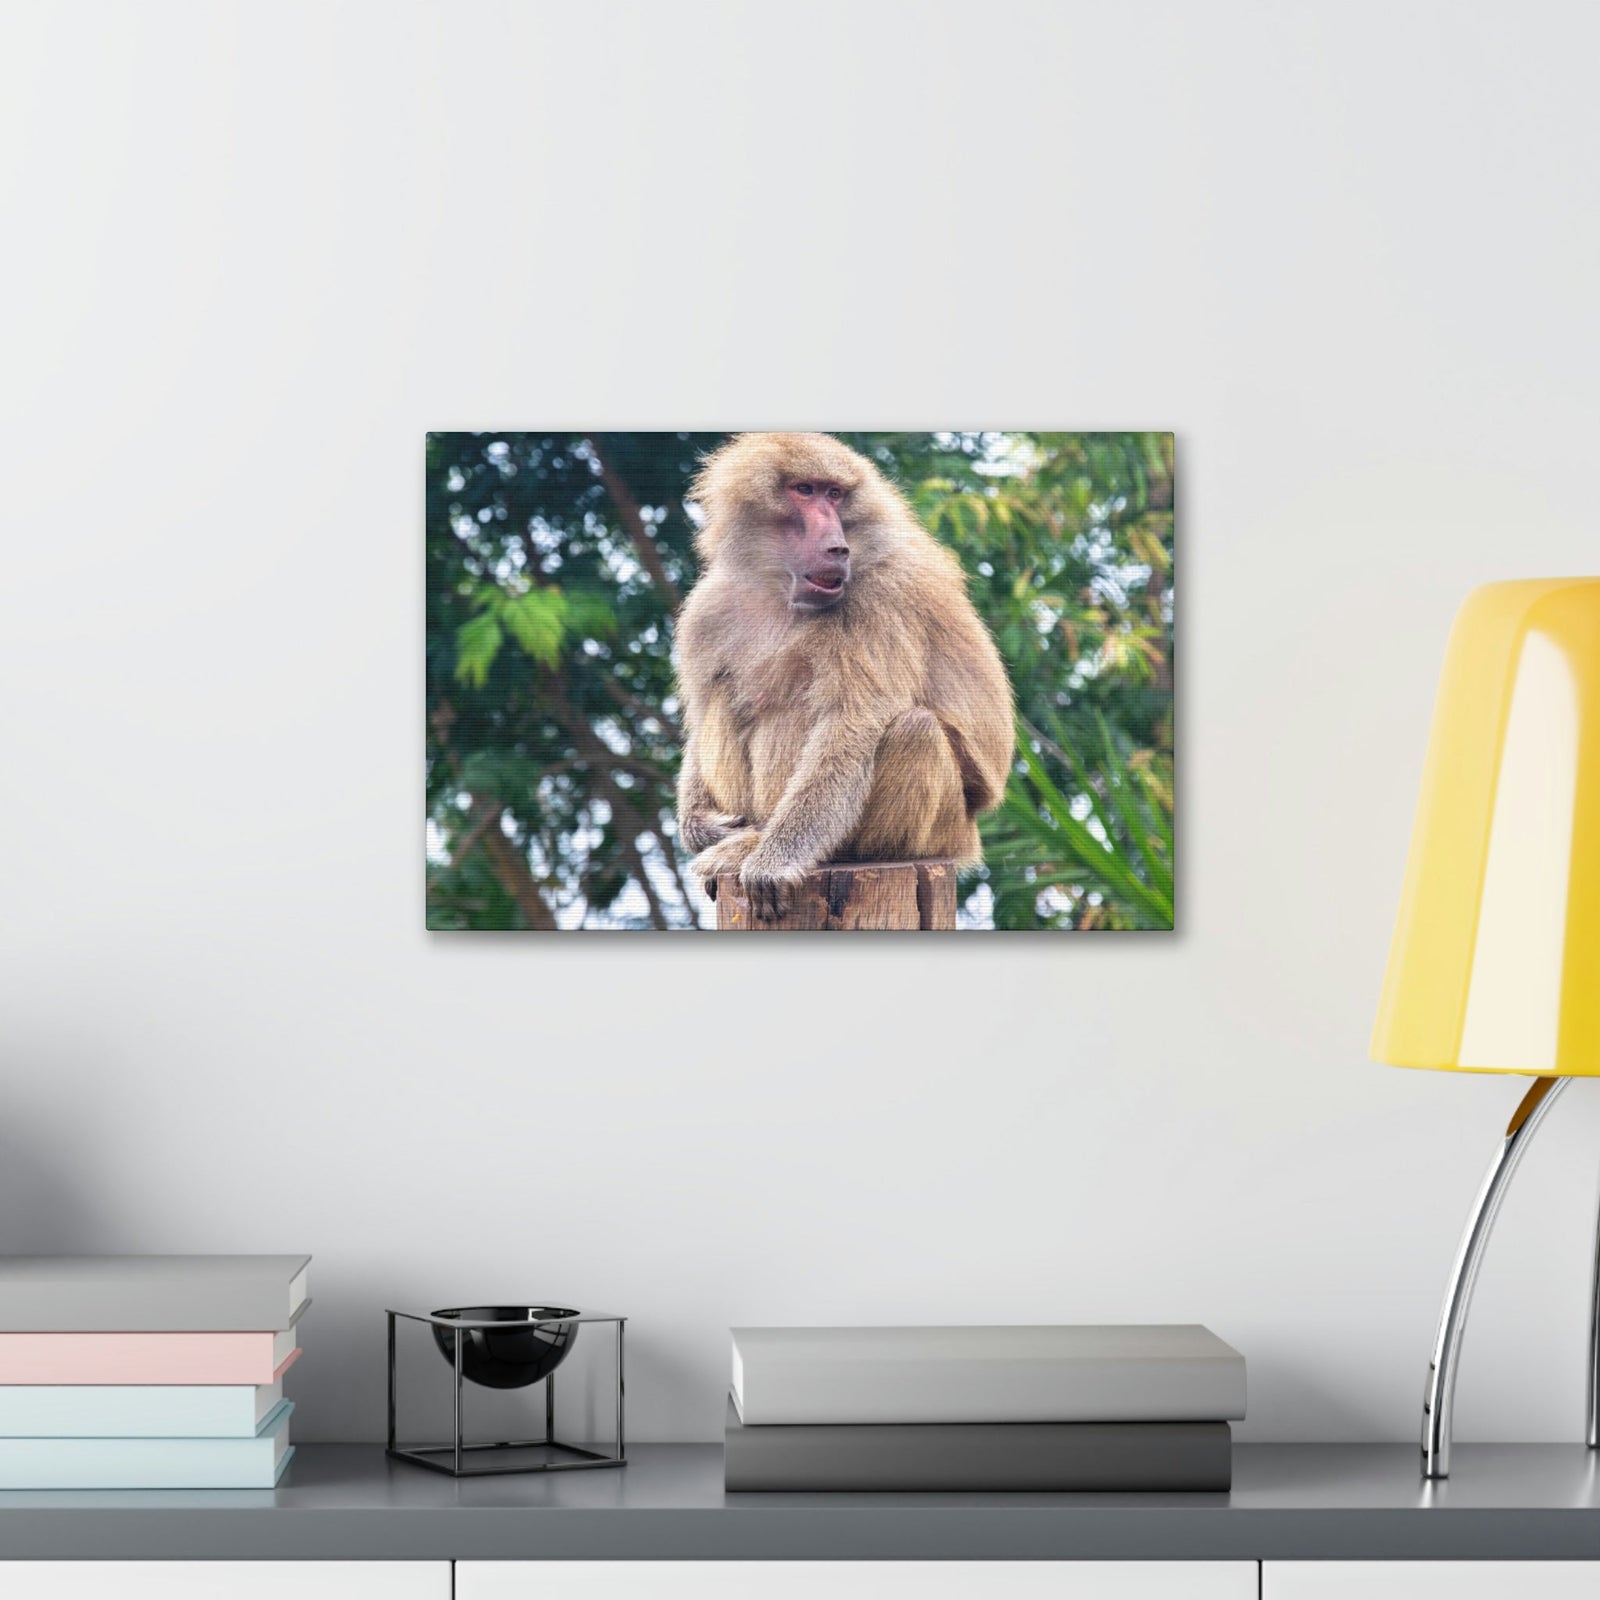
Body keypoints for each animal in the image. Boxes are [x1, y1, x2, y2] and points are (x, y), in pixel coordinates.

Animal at [673, 432, 1015, 921]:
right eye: (804, 490)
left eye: (834, 494)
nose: (837, 547)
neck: (779, 589)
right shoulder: (707, 609)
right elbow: (700, 717)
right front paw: (700, 827)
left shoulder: (880, 599)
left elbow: (849, 726)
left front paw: (773, 863)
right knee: (726, 695)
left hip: (943, 831)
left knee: (913, 729)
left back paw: (775, 848)